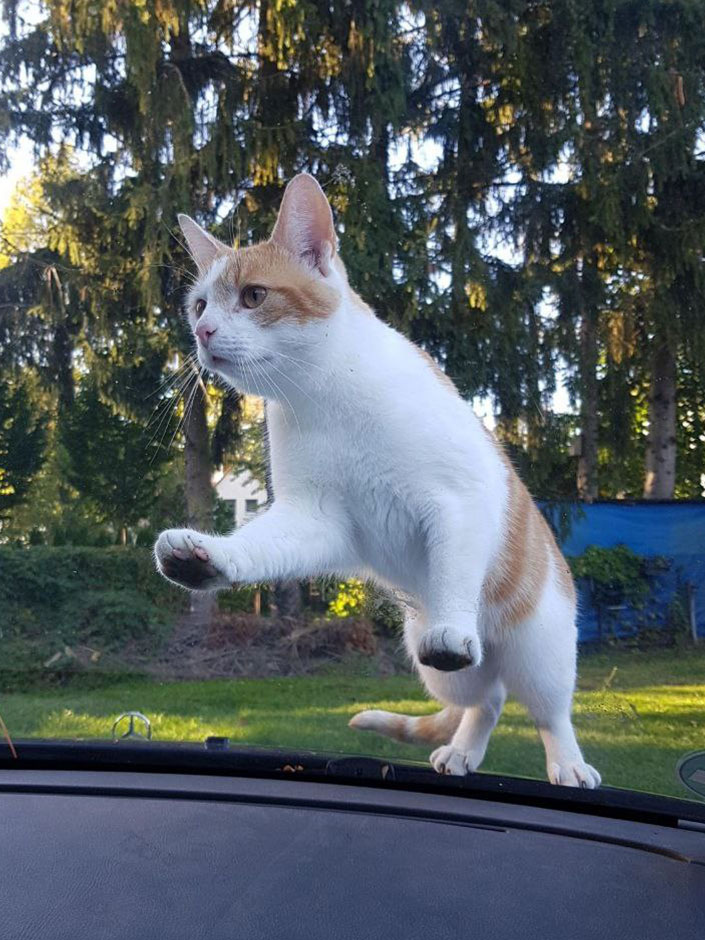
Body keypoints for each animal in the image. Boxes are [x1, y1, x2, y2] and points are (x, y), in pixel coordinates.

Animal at [154, 174, 600, 784]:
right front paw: (202, 559)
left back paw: (568, 763)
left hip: (540, 651)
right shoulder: (316, 518)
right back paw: (462, 751)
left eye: (253, 296)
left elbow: (454, 569)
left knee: (547, 711)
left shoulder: (460, 500)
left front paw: (452, 624)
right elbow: (257, 546)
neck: (324, 393)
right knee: (484, 700)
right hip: (442, 671)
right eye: (199, 303)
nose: (202, 330)